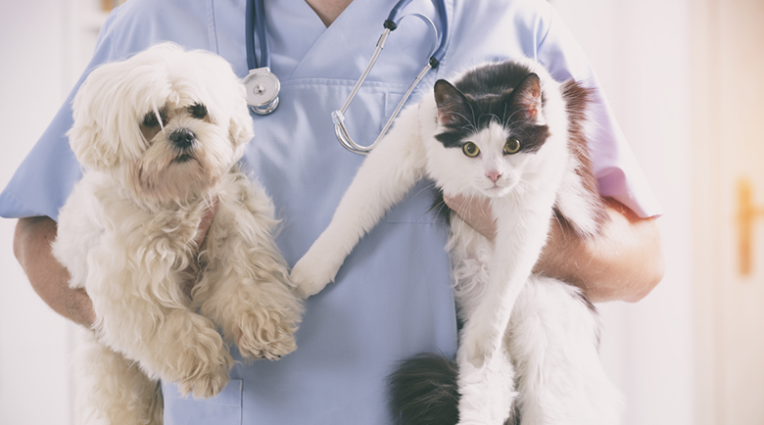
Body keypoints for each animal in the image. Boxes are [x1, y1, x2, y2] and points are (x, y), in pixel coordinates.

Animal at [50, 43, 302, 424]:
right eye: (151, 120)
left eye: (198, 110)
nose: (184, 134)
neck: (176, 198)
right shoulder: (134, 282)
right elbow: (174, 326)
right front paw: (205, 368)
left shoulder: (233, 232)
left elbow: (248, 287)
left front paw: (265, 332)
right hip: (114, 373)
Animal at [290, 59, 620, 424]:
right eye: (470, 149)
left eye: (513, 146)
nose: (494, 175)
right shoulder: (407, 142)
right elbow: (354, 208)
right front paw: (310, 273)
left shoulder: (529, 204)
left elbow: (508, 274)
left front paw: (485, 336)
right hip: (489, 370)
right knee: (485, 403)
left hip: (553, 371)